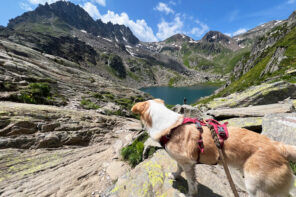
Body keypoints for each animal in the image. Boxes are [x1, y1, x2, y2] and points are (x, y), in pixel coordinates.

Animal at [131, 99, 296, 197]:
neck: (171, 127)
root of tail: (279, 146)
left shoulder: (188, 163)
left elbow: (191, 183)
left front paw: (189, 194)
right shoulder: (182, 160)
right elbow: (178, 167)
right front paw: (176, 175)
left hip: (256, 186)